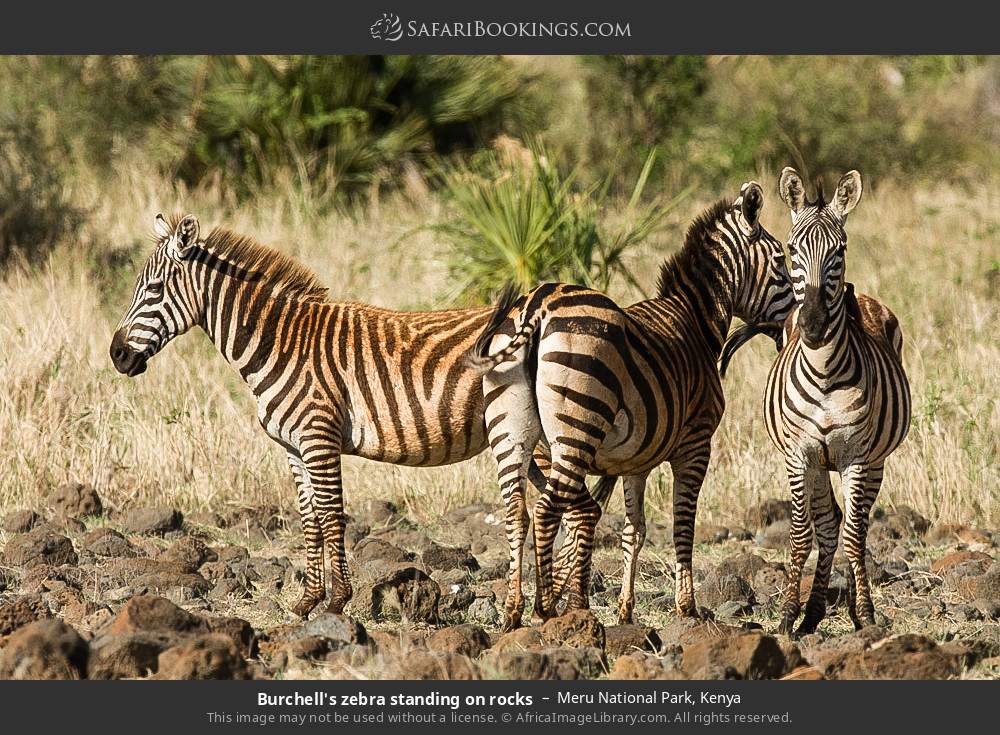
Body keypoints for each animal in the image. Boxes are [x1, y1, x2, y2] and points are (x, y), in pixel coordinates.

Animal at [109, 213, 545, 619]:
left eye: (153, 290)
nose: (117, 355)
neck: (281, 344)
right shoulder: (292, 446)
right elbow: (310, 520)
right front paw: (307, 601)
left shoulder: (319, 437)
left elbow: (333, 516)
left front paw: (337, 601)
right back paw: (548, 604)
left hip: (521, 431)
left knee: (530, 509)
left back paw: (522, 609)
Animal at [471, 182, 794, 625]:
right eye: (781, 261)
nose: (800, 321)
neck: (695, 321)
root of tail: (537, 304)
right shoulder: (696, 443)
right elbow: (682, 525)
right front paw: (687, 607)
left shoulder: (635, 461)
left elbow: (634, 530)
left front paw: (625, 610)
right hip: (576, 428)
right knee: (547, 509)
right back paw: (549, 608)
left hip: (512, 431)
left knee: (518, 511)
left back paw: (513, 612)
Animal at [761, 168, 911, 635]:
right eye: (791, 248)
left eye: (839, 250)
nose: (811, 325)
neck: (825, 373)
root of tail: (859, 295)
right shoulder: (800, 454)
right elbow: (801, 533)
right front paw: (787, 616)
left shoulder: (855, 456)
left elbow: (854, 536)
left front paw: (865, 614)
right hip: (816, 463)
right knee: (827, 525)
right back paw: (810, 614)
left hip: (876, 460)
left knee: (849, 527)